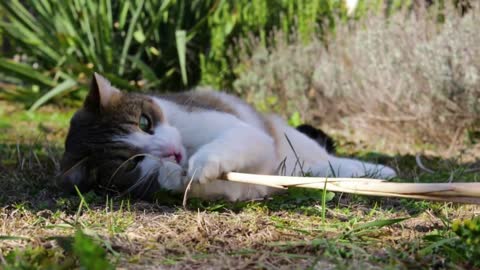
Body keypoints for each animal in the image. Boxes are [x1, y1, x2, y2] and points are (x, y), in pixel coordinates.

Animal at [60, 73, 398, 200]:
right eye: (133, 162)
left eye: (145, 122)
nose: (171, 152)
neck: (189, 147)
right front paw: (173, 174)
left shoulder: (242, 131)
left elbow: (233, 142)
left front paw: (202, 164)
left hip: (289, 137)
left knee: (326, 159)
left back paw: (375, 171)